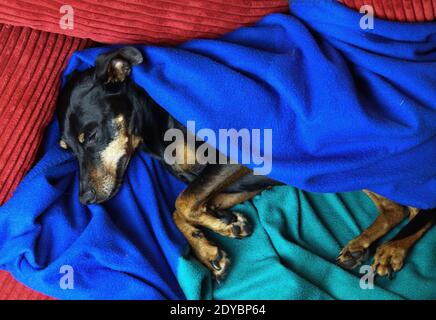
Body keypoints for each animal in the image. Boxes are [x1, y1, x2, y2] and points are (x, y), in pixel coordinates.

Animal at [58, 47, 436, 280]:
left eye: (90, 135)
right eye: (66, 149)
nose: (85, 199)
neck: (158, 124)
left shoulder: (237, 158)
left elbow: (181, 202)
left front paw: (215, 234)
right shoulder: (242, 182)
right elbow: (185, 207)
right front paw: (219, 234)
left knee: (423, 210)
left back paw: (391, 251)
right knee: (396, 210)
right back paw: (360, 247)